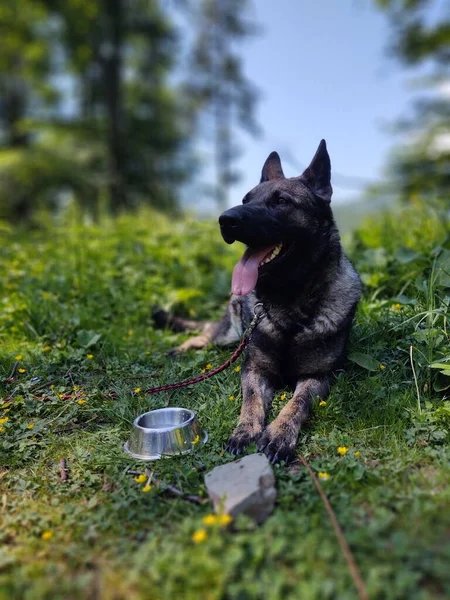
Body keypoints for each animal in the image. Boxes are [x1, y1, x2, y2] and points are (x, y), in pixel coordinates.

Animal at [155, 141, 362, 464]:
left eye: (281, 201)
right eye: (245, 199)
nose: (225, 220)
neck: (290, 304)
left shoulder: (318, 377)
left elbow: (297, 403)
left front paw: (279, 435)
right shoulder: (254, 370)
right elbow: (251, 400)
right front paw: (245, 431)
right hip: (227, 336)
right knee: (204, 334)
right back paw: (180, 349)